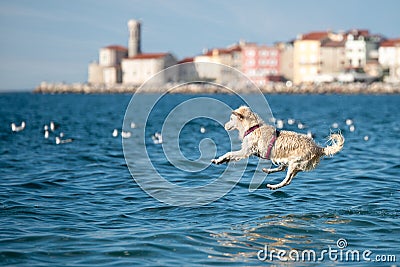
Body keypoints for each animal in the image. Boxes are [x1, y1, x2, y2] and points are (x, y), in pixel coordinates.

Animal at [211, 106, 346, 191]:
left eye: (231, 119)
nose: (225, 125)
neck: (252, 127)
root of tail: (318, 148)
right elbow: (230, 156)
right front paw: (222, 161)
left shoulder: (246, 151)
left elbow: (229, 153)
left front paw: (219, 160)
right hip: (290, 162)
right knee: (283, 170)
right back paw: (268, 171)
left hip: (294, 163)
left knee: (287, 180)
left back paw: (274, 186)